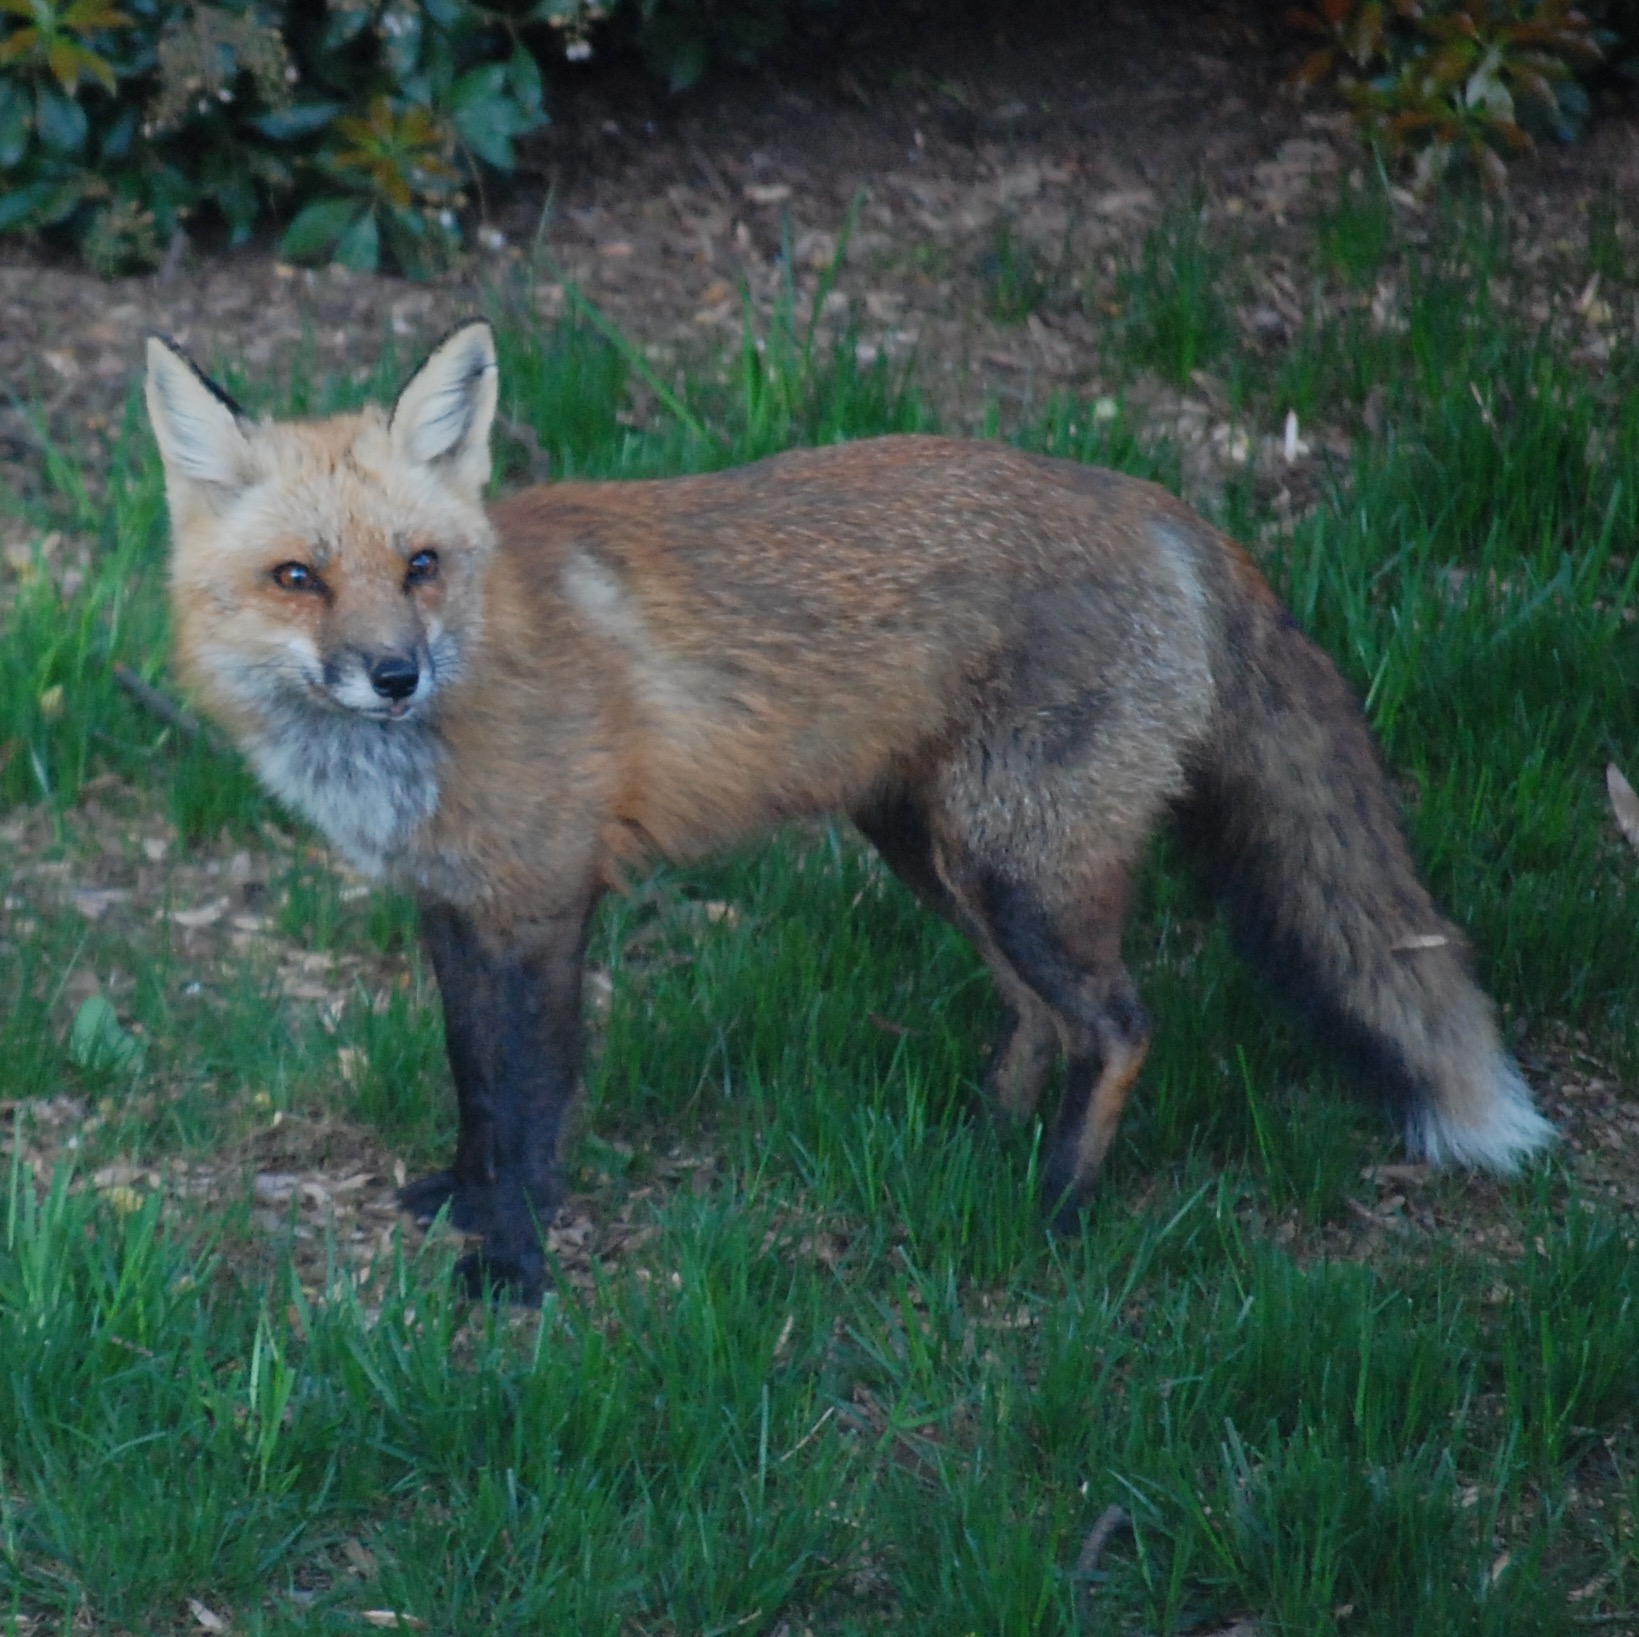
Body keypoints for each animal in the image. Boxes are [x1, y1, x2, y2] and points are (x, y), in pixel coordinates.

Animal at [145, 319, 1553, 1300]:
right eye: (298, 577)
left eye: (420, 566)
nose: (394, 673)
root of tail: (1158, 503)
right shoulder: (453, 907)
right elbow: (473, 1082)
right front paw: (464, 1196)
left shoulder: (543, 904)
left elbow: (532, 1097)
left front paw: (516, 1260)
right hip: (934, 850)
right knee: (1038, 1014)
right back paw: (979, 1144)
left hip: (1018, 864)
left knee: (1121, 1022)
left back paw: (1056, 1204)